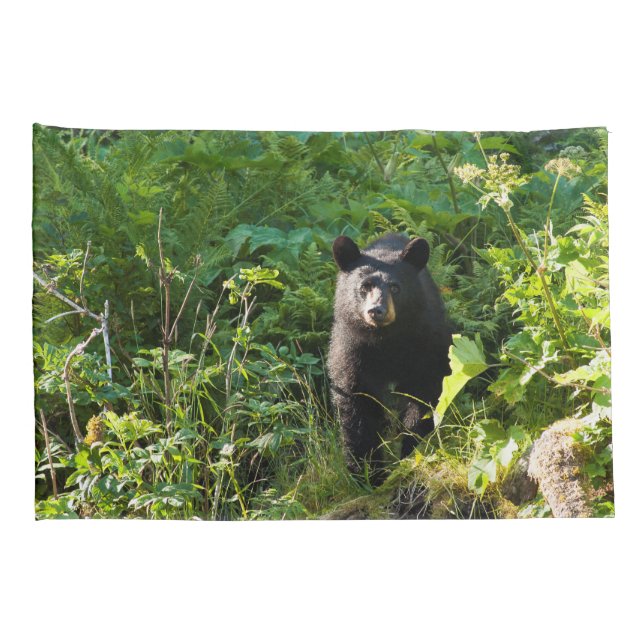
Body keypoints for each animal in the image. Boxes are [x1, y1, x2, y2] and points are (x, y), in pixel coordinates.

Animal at [328, 233, 452, 483]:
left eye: (395, 287)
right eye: (364, 287)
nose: (377, 310)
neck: (386, 340)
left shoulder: (426, 343)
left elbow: (424, 393)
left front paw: (412, 449)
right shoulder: (351, 350)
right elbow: (356, 402)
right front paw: (367, 472)